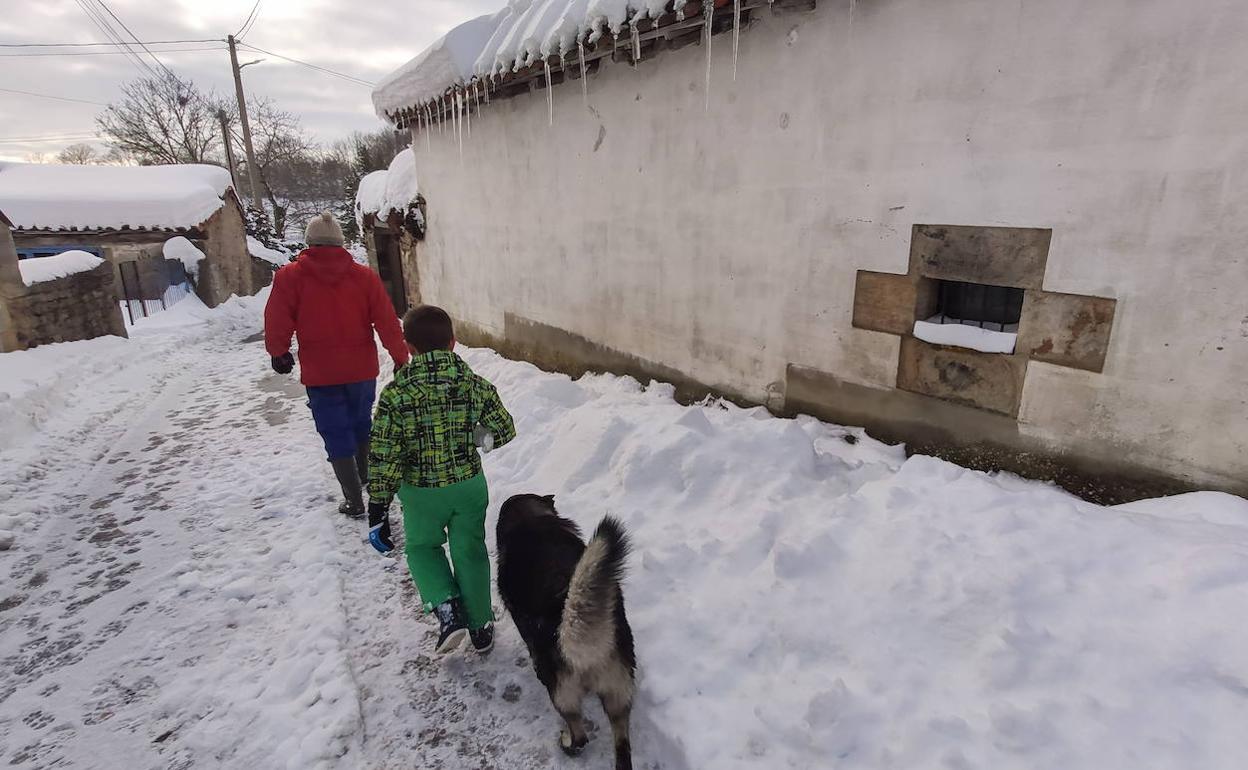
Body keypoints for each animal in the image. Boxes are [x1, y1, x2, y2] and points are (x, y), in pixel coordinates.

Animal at [494, 496, 633, 763]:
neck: (530, 519)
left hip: (562, 692)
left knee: (580, 736)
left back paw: (567, 743)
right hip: (618, 693)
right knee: (622, 747)